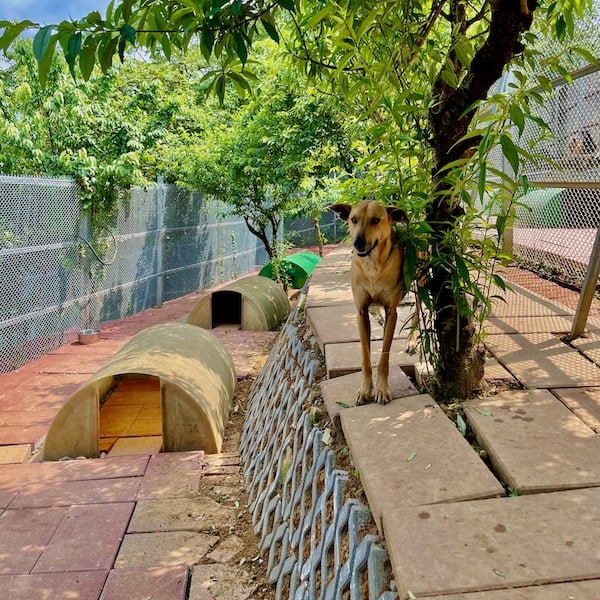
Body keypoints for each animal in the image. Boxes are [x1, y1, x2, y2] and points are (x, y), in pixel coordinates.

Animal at [330, 200, 419, 405]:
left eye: (375, 220)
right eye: (353, 220)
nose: (358, 242)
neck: (372, 266)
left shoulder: (392, 311)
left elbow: (384, 356)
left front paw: (382, 389)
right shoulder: (361, 312)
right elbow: (365, 355)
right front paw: (365, 389)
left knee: (419, 308)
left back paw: (411, 339)